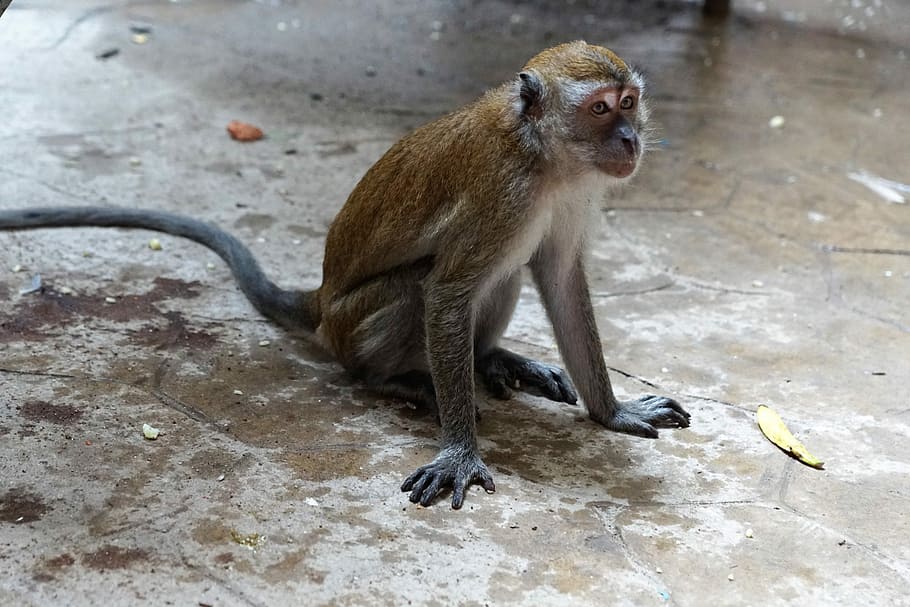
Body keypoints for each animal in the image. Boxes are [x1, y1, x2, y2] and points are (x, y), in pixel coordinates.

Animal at [0, 41, 690, 509]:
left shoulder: (573, 193)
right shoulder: (506, 198)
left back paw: (492, 359)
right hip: (351, 325)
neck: (545, 155)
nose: (629, 140)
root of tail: (322, 299)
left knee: (502, 279)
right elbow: (447, 291)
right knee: (418, 291)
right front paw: (460, 450)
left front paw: (613, 412)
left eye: (629, 104)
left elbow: (561, 278)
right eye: (600, 109)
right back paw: (398, 381)